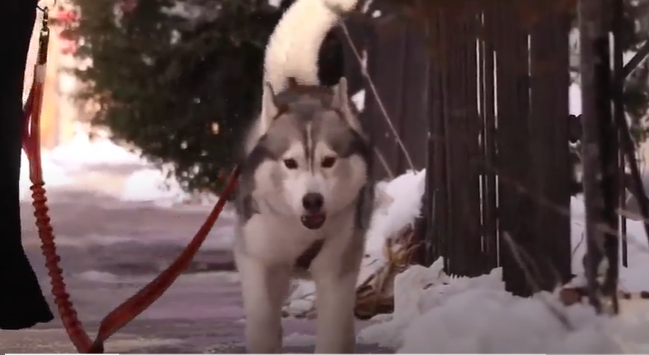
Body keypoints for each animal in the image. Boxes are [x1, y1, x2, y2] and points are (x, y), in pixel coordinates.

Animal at [233, 0, 374, 354]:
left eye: (328, 161)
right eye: (290, 162)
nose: (313, 201)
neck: (298, 233)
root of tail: (301, 86)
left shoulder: (337, 271)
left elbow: (333, 332)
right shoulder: (258, 261)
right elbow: (263, 324)